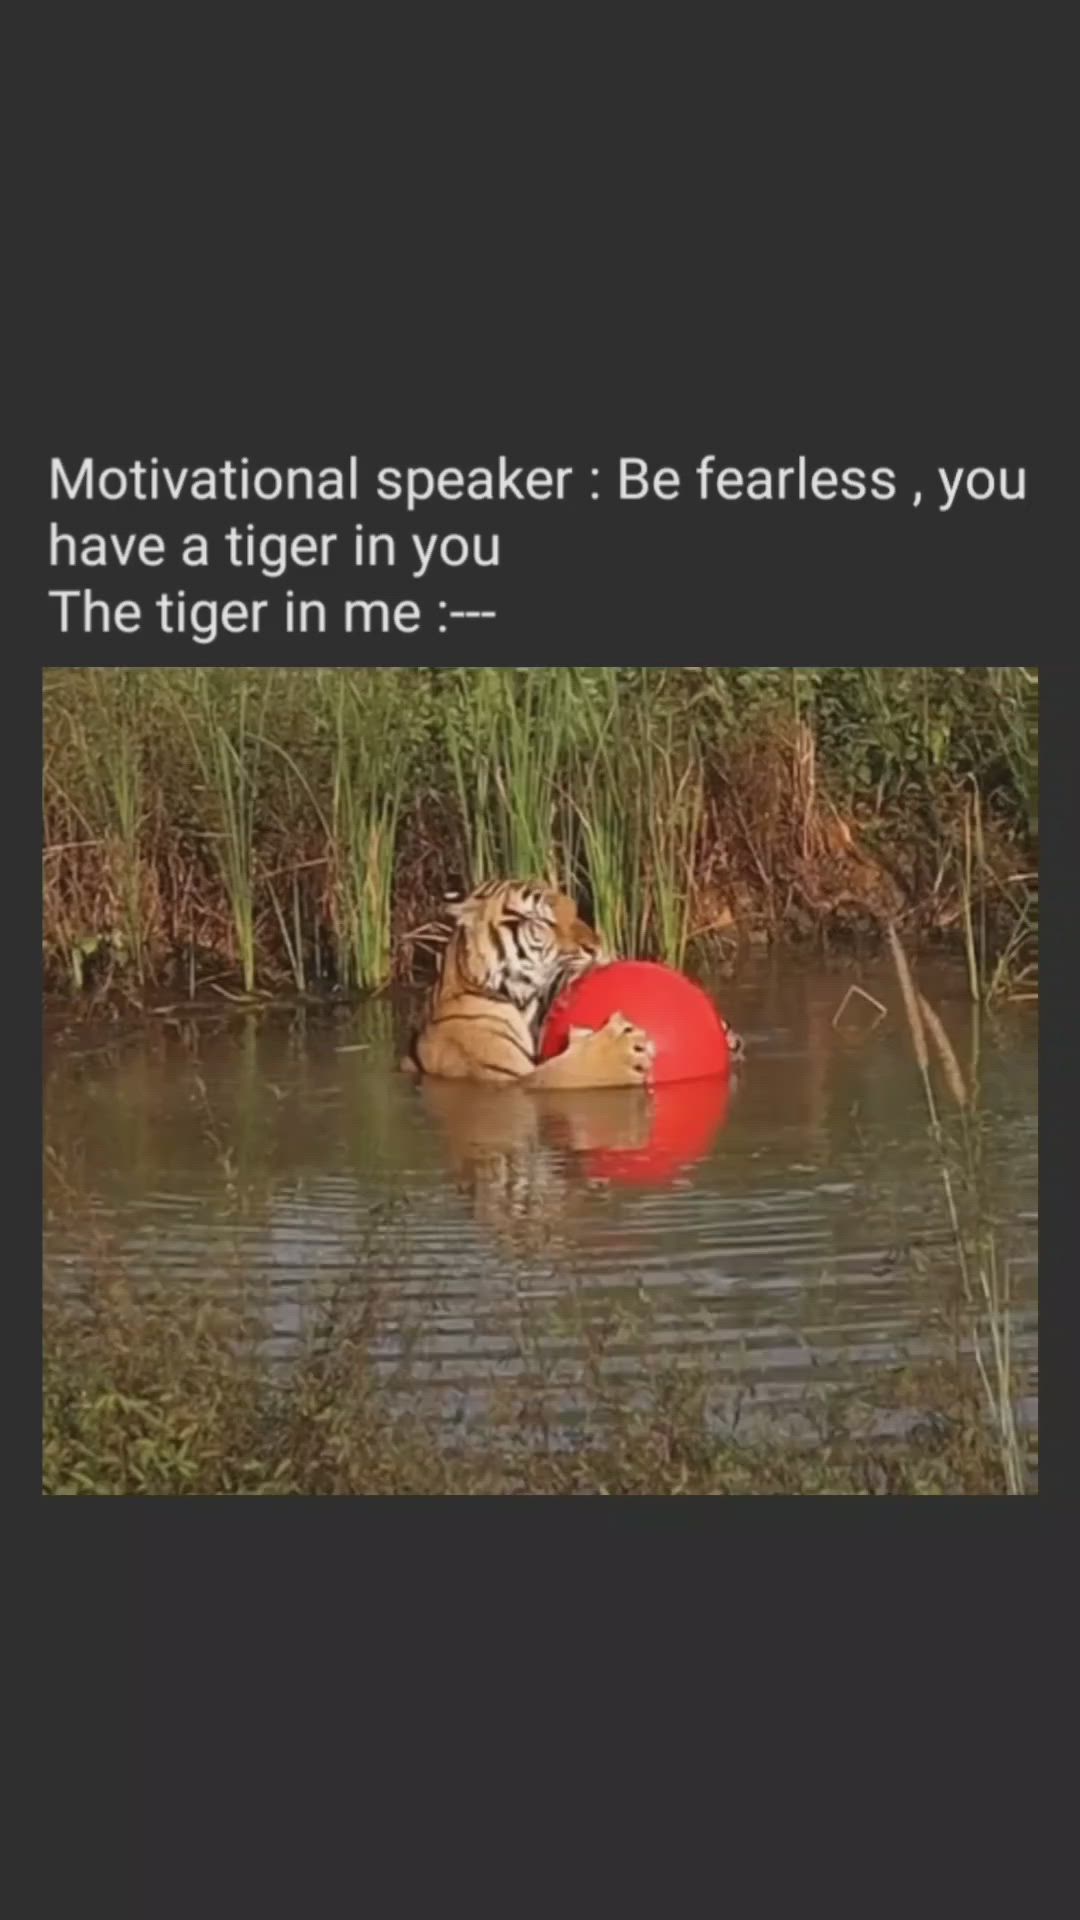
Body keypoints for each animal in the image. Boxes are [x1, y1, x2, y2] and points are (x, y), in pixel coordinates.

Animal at [401, 879, 653, 1090]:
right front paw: (624, 1050)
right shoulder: (511, 1079)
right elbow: (566, 1071)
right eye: (545, 921)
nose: (596, 947)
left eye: (574, 911)